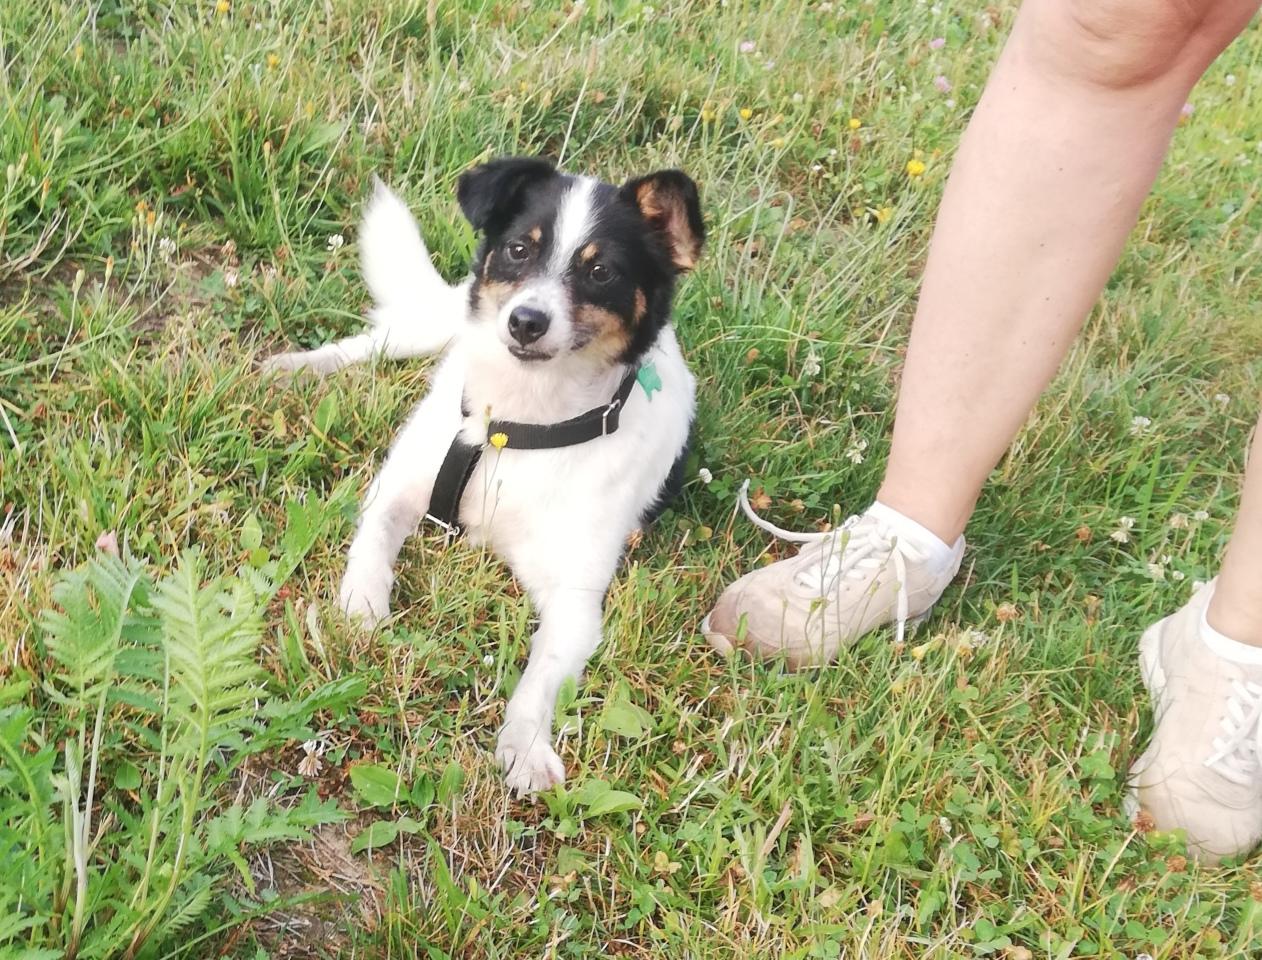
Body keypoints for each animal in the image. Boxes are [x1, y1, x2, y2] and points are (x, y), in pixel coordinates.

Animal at [263, 158, 703, 794]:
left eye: (600, 271)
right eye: (519, 249)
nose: (525, 322)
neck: (517, 426)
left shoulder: (575, 601)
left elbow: (540, 678)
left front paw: (525, 747)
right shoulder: (397, 487)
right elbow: (371, 547)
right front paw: (362, 609)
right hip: (437, 325)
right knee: (378, 339)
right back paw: (298, 367)